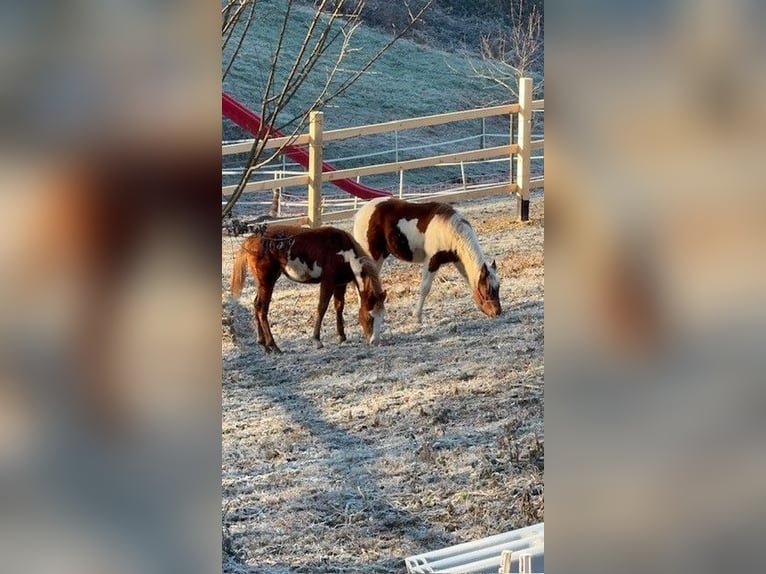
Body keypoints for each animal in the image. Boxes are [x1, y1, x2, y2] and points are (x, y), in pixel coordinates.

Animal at [226, 226, 384, 356]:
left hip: (264, 283)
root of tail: (251, 240)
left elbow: (339, 306)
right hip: (267, 282)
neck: (343, 251)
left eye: (382, 316)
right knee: (261, 309)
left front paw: (342, 336)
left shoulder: (340, 283)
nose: (375, 342)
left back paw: (263, 345)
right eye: (370, 317)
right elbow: (322, 307)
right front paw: (316, 340)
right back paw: (273, 346)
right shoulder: (328, 282)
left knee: (256, 305)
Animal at [354, 198, 504, 324]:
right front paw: (417, 317)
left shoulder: (457, 261)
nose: (497, 312)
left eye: (498, 288)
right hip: (373, 256)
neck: (449, 229)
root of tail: (360, 213)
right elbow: (425, 288)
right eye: (487, 290)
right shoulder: (432, 261)